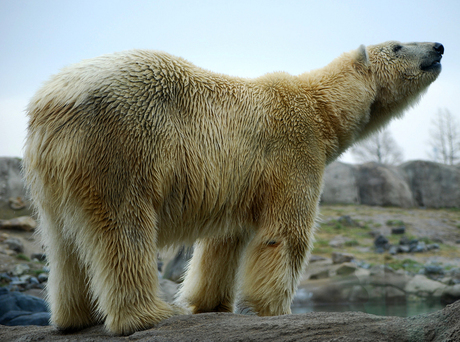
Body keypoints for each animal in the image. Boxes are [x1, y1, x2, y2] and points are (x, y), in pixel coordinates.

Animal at [24, 40, 442, 334]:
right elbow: (286, 234)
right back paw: (147, 315)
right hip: (122, 144)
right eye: (398, 45)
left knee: (63, 243)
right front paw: (276, 310)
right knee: (124, 228)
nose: (438, 47)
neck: (320, 108)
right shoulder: (293, 151)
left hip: (54, 171)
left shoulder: (240, 181)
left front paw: (209, 304)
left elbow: (223, 242)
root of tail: (52, 100)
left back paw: (76, 318)